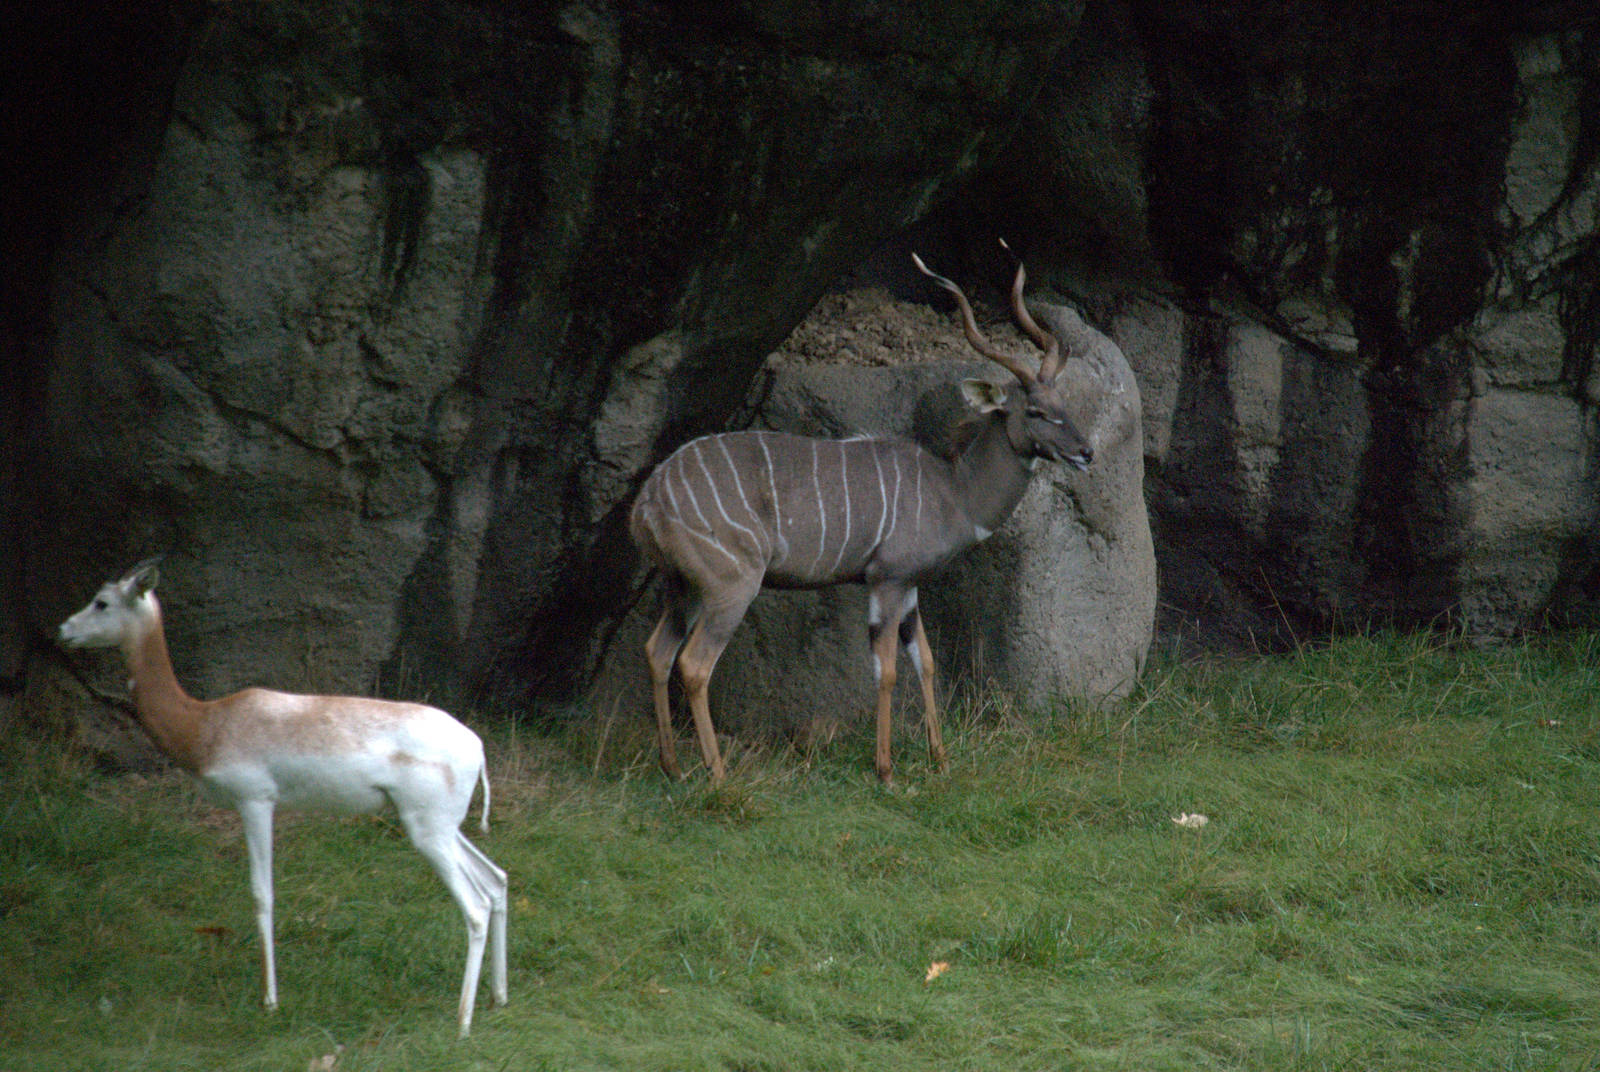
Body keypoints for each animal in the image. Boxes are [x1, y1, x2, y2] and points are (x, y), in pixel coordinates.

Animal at [57, 560, 508, 1038]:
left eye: (101, 602)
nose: (63, 630)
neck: (206, 723)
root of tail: (476, 747)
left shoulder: (255, 802)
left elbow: (262, 894)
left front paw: (270, 1001)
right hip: (439, 827)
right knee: (496, 880)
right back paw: (498, 997)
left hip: (428, 833)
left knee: (476, 906)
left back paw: (462, 1023)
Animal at [630, 250, 1093, 785]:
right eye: (1035, 410)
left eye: (1065, 403)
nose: (1086, 452)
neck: (951, 491)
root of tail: (648, 502)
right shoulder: (886, 579)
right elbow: (887, 671)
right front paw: (886, 770)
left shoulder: (910, 585)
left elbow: (925, 662)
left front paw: (940, 759)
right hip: (731, 584)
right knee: (694, 664)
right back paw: (719, 776)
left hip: (681, 586)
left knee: (658, 652)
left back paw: (672, 767)